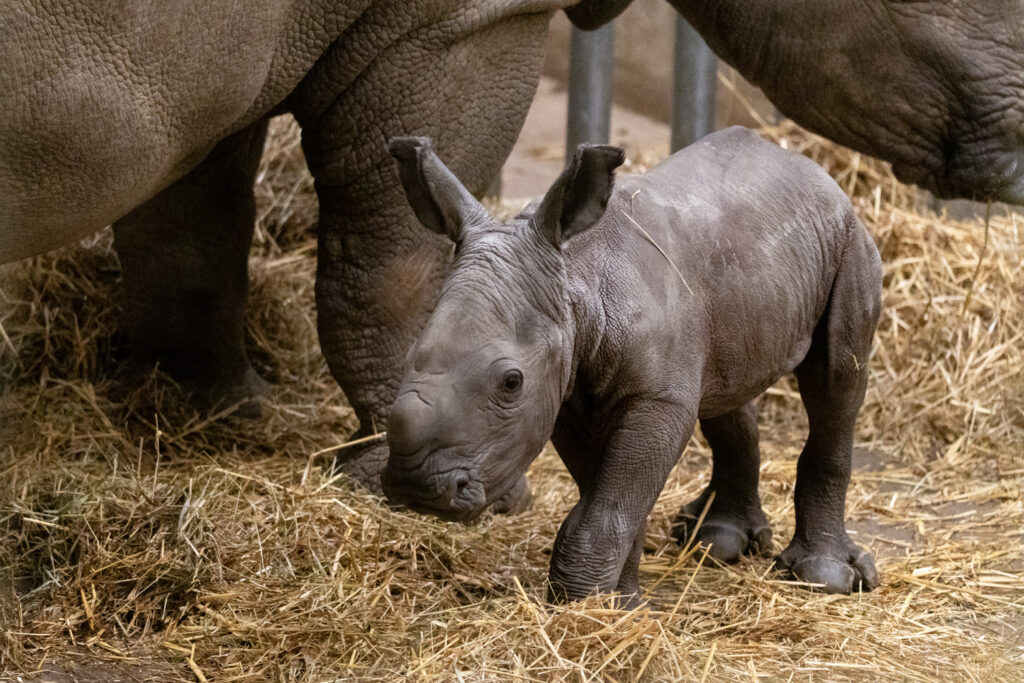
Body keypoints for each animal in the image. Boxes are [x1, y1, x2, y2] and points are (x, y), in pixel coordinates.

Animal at [383, 127, 883, 603]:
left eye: (510, 382)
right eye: (407, 358)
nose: (416, 488)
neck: (575, 281)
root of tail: (811, 169)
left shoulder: (654, 399)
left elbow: (612, 503)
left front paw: (584, 606)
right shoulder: (565, 392)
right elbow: (609, 498)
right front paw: (617, 602)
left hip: (848, 240)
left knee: (837, 381)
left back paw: (824, 577)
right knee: (725, 387)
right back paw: (714, 543)